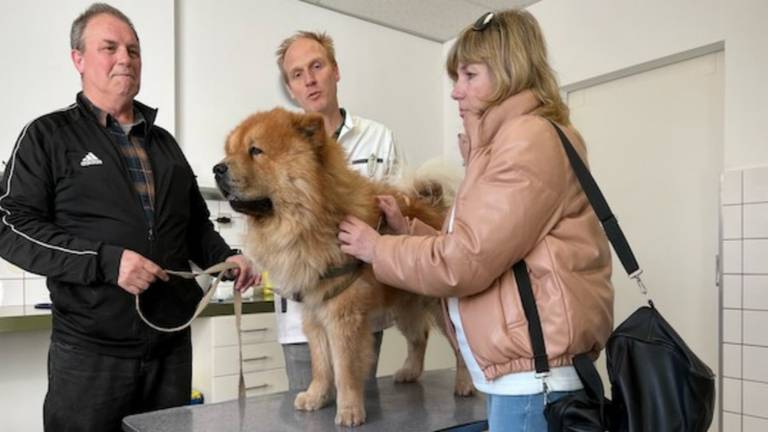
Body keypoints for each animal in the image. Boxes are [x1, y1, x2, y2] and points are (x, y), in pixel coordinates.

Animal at [213, 107, 472, 426]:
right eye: (230, 151)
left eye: (255, 150)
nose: (217, 168)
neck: (310, 218)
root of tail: (433, 210)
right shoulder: (313, 312)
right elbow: (321, 364)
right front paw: (316, 397)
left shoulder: (343, 315)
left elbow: (345, 368)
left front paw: (349, 411)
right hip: (405, 307)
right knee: (418, 338)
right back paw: (409, 372)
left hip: (439, 307)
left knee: (460, 350)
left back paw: (465, 384)